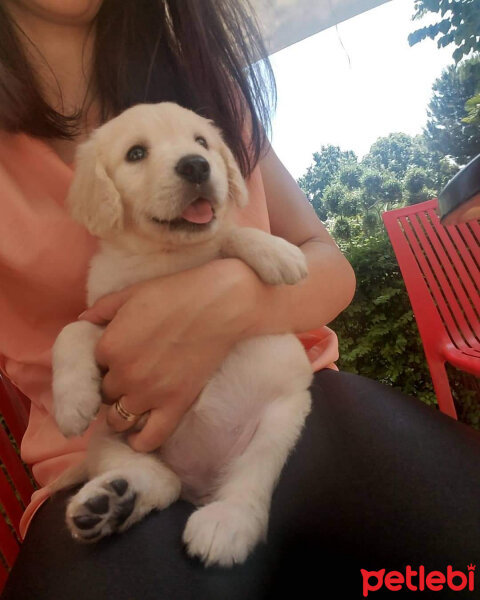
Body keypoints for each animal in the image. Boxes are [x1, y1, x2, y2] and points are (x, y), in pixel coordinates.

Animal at [52, 103, 314, 568]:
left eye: (201, 143)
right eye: (136, 153)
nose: (196, 166)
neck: (167, 258)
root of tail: (200, 486)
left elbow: (228, 233)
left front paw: (276, 251)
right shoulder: (110, 317)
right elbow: (73, 327)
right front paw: (71, 401)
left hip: (280, 421)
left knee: (248, 485)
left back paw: (224, 521)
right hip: (108, 439)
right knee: (162, 482)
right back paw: (111, 502)